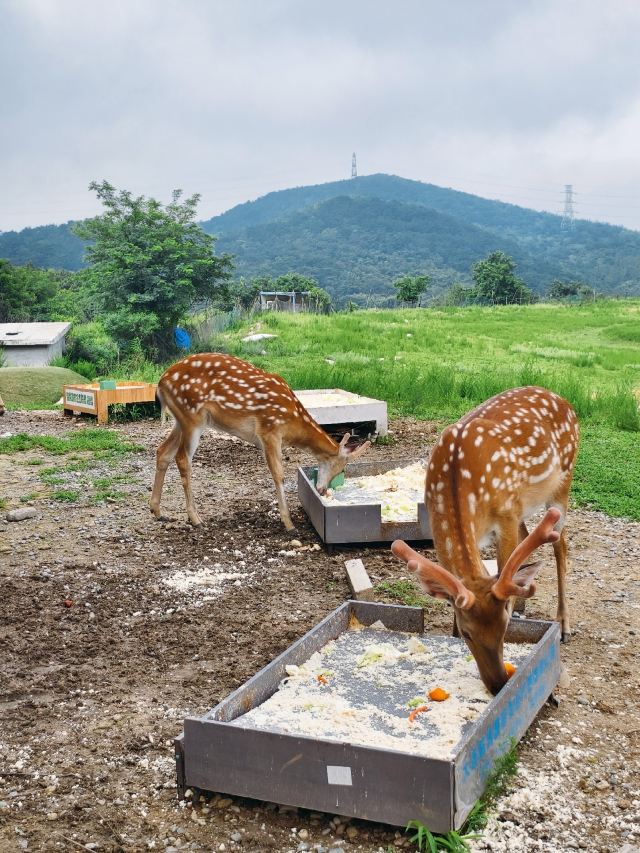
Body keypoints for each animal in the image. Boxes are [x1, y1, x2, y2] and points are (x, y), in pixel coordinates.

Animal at [150, 353, 370, 530]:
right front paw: (288, 523)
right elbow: (278, 474)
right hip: (192, 415)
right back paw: (195, 518)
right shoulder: (269, 429)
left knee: (162, 451)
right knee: (182, 458)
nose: (323, 490)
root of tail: (160, 384)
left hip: (182, 420)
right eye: (341, 468)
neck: (293, 423)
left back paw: (158, 511)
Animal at [391, 386, 579, 695]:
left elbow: (505, 570)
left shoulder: (505, 515)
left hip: (563, 481)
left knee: (560, 544)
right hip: (523, 507)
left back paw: (563, 624)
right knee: (528, 538)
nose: (498, 683)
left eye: (504, 629)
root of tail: (563, 400)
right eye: (466, 632)